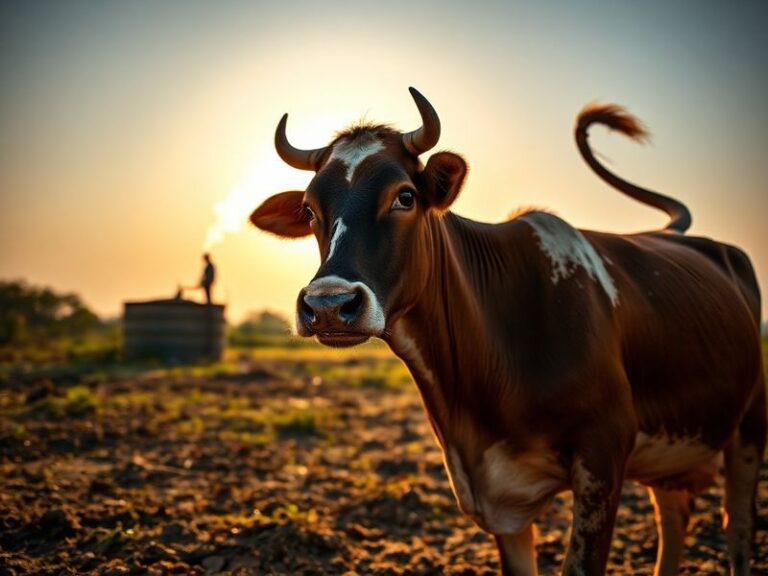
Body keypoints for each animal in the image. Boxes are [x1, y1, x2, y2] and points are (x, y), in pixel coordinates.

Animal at [249, 88, 765, 576]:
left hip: (748, 426)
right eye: (309, 209)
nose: (328, 305)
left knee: (737, 528)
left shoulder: (604, 455)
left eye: (405, 196)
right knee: (674, 515)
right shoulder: (497, 497)